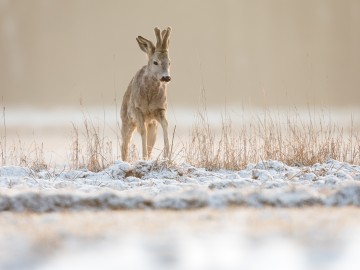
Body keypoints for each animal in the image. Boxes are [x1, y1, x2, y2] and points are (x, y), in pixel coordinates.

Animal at [120, 27, 172, 160]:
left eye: (169, 62)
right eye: (155, 62)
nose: (166, 77)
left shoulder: (160, 109)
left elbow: (165, 125)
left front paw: (167, 156)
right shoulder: (136, 109)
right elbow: (142, 131)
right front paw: (143, 157)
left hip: (152, 124)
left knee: (150, 142)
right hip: (126, 120)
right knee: (124, 143)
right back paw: (124, 160)